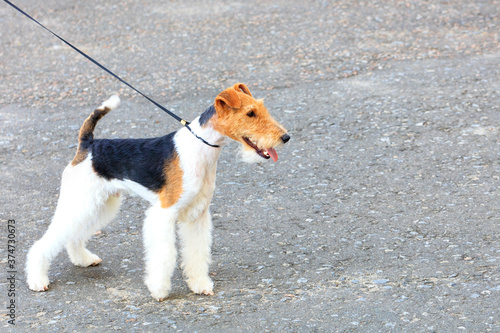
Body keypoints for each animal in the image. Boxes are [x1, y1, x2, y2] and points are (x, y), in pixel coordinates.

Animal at [25, 83, 290, 300]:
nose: (285, 137)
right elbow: (164, 254)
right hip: (82, 200)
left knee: (73, 235)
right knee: (46, 241)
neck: (201, 147)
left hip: (101, 204)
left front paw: (200, 284)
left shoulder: (198, 214)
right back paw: (38, 280)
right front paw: (159, 290)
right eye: (250, 113)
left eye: (261, 108)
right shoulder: (164, 212)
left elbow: (197, 252)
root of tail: (88, 144)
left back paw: (83, 259)